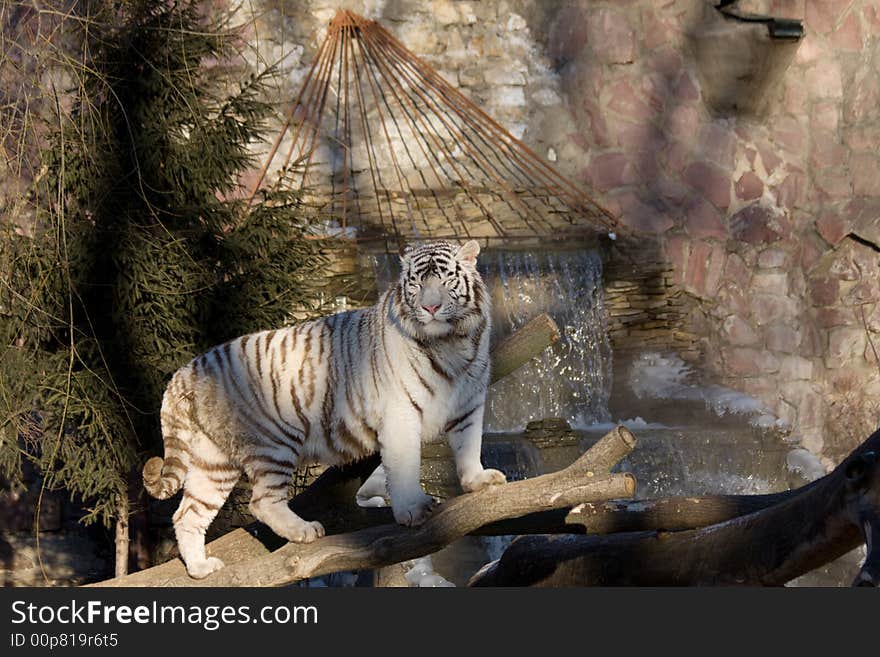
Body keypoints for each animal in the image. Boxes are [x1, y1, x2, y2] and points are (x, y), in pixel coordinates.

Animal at [141, 238, 506, 576]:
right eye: (415, 283)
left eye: (446, 280)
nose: (430, 307)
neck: (451, 343)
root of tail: (185, 372)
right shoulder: (400, 414)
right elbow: (404, 466)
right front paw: (413, 509)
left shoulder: (469, 404)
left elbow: (469, 445)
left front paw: (478, 481)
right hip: (275, 440)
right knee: (262, 501)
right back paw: (304, 531)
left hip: (214, 461)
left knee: (187, 514)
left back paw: (200, 567)